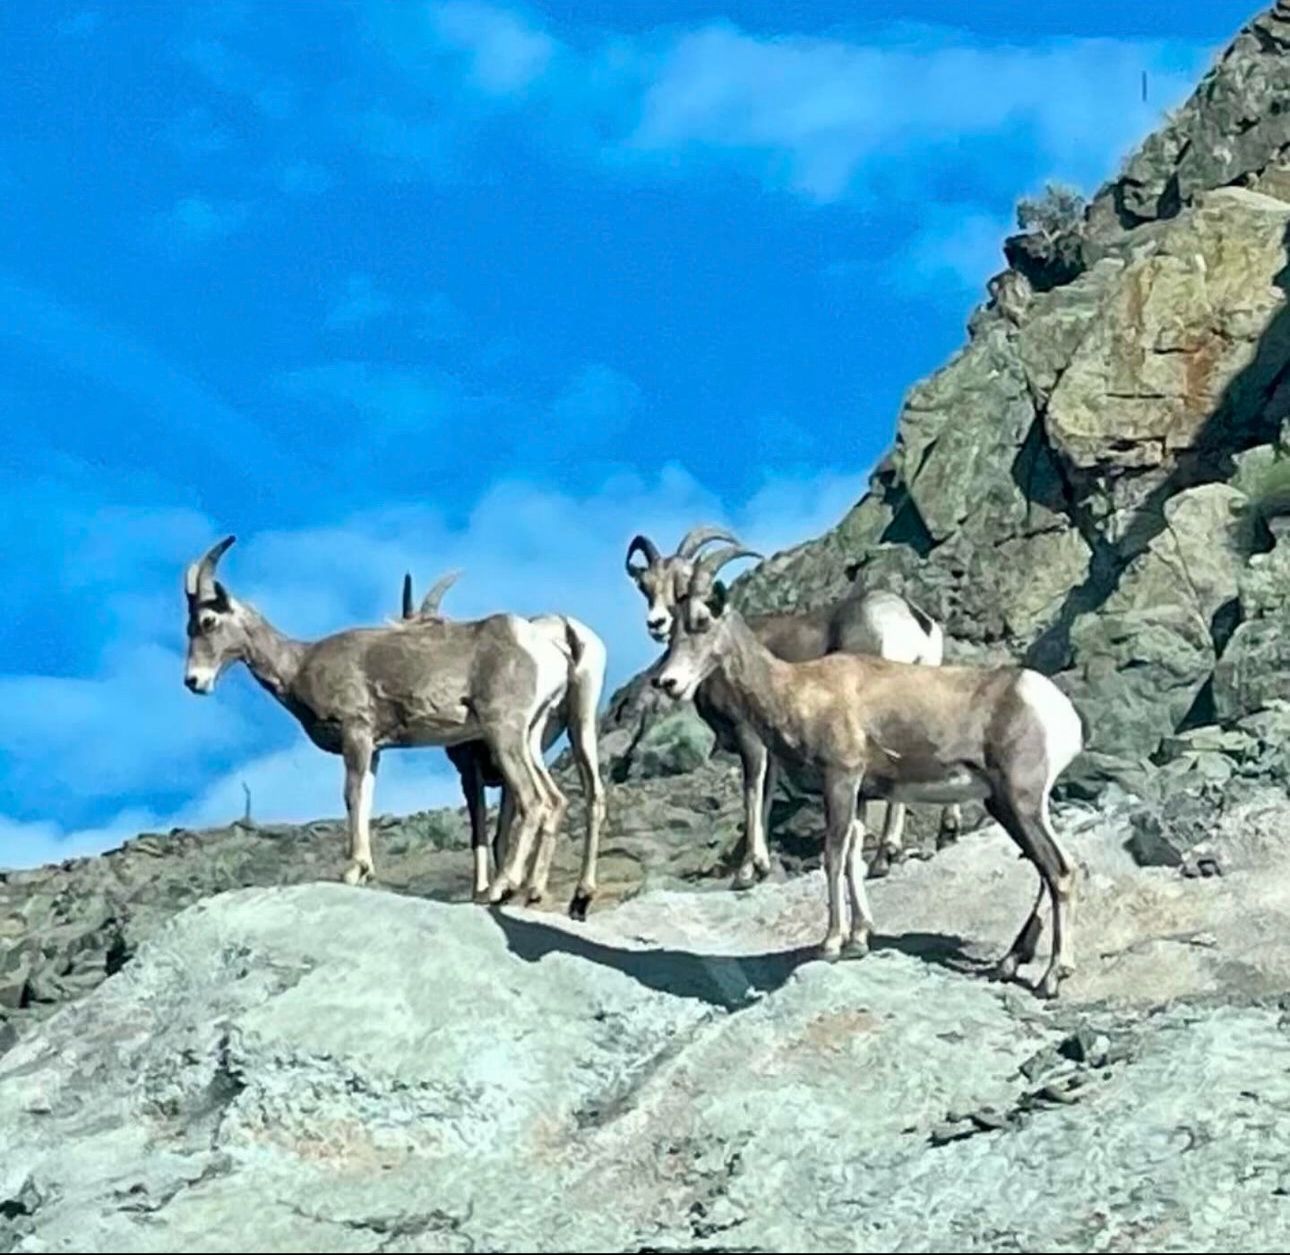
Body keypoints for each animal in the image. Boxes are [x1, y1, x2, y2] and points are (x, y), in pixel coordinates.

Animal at [181, 536, 577, 911]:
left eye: (208, 621)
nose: (194, 681)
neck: (299, 665)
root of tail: (548, 651)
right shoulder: (374, 749)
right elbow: (366, 798)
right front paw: (364, 871)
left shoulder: (356, 734)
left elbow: (352, 795)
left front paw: (353, 870)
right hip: (528, 740)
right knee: (553, 800)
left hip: (503, 735)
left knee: (533, 801)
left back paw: (500, 887)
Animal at [399, 570, 607, 919]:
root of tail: (566, 630)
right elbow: (502, 831)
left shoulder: (471, 772)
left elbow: (481, 830)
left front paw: (483, 889)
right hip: (581, 726)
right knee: (589, 796)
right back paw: (576, 896)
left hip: (523, 740)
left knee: (549, 800)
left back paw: (514, 888)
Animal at [625, 526, 960, 887]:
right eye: (645, 585)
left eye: (682, 582)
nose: (657, 623)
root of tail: (910, 619)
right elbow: (766, 796)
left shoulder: (749, 737)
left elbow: (752, 791)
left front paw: (748, 870)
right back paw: (939, 834)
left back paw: (885, 856)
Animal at [651, 544, 1084, 1000]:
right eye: (673, 628)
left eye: (702, 621)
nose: (668, 682)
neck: (799, 690)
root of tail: (1057, 709)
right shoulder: (860, 794)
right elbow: (852, 858)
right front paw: (859, 939)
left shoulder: (840, 780)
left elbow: (833, 856)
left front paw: (830, 944)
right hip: (1010, 807)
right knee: (1050, 870)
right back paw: (1011, 963)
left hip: (1019, 803)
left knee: (1061, 872)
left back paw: (1052, 978)